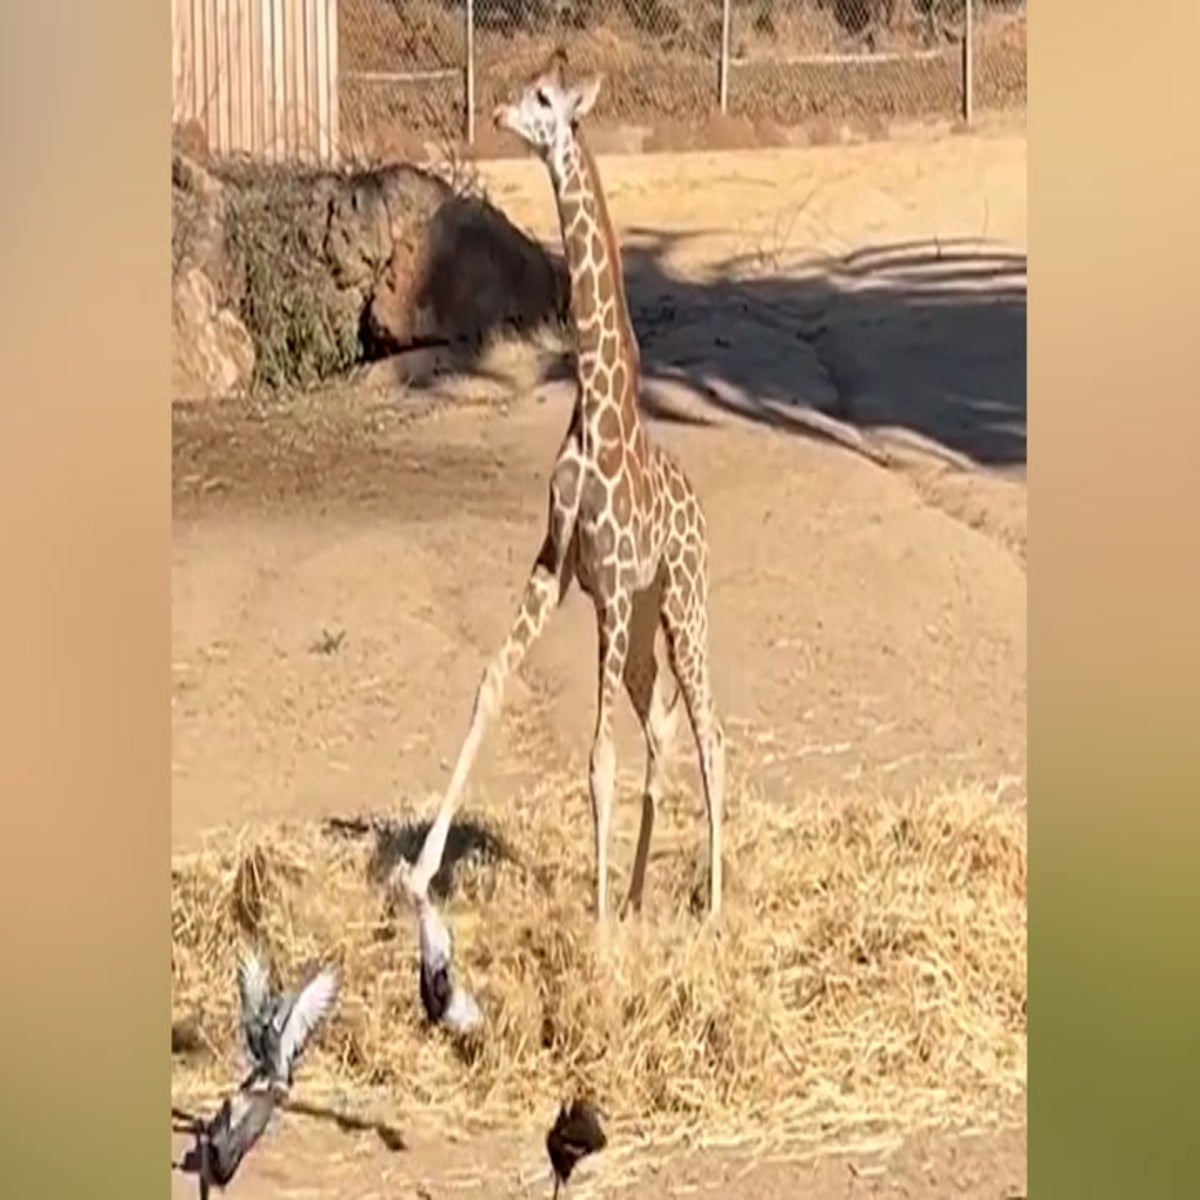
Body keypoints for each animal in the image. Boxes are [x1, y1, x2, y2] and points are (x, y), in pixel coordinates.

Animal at [408, 51, 724, 921]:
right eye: (524, 90)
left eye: (547, 99)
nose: (500, 117)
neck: (596, 411)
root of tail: (698, 511)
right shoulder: (557, 566)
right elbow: (490, 682)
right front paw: (417, 872)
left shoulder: (607, 588)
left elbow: (598, 757)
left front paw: (597, 929)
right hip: (647, 624)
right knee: (665, 729)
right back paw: (640, 895)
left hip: (681, 605)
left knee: (710, 732)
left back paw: (712, 905)